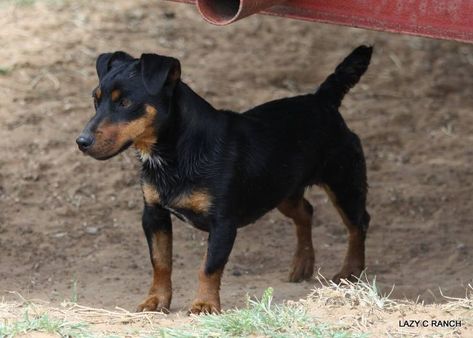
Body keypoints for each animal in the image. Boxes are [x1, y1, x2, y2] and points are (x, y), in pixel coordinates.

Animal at [76, 45, 372, 314]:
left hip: (343, 183)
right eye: (95, 99)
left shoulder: (223, 223)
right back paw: (303, 264)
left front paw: (204, 305)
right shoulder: (154, 214)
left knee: (358, 224)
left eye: (125, 103)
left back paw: (350, 272)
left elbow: (209, 266)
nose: (81, 142)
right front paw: (156, 301)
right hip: (281, 190)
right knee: (306, 212)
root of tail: (323, 100)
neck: (175, 152)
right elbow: (160, 262)